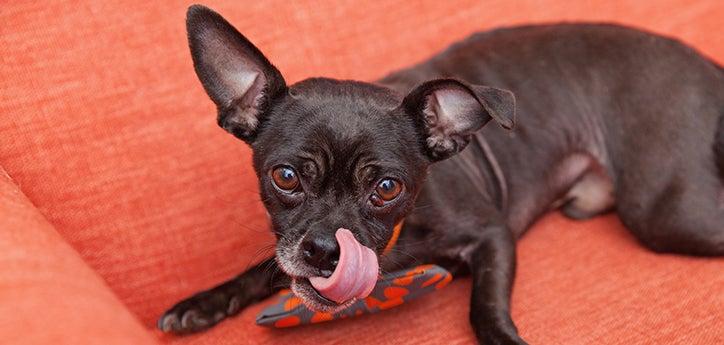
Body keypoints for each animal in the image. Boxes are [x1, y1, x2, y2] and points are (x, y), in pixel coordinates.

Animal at [161, 4, 724, 342]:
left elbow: (484, 305)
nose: (324, 251)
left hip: (667, 213)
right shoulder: (287, 246)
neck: (397, 245)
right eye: (284, 178)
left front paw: (503, 337)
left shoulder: (494, 236)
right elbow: (263, 266)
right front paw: (205, 302)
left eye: (388, 188)